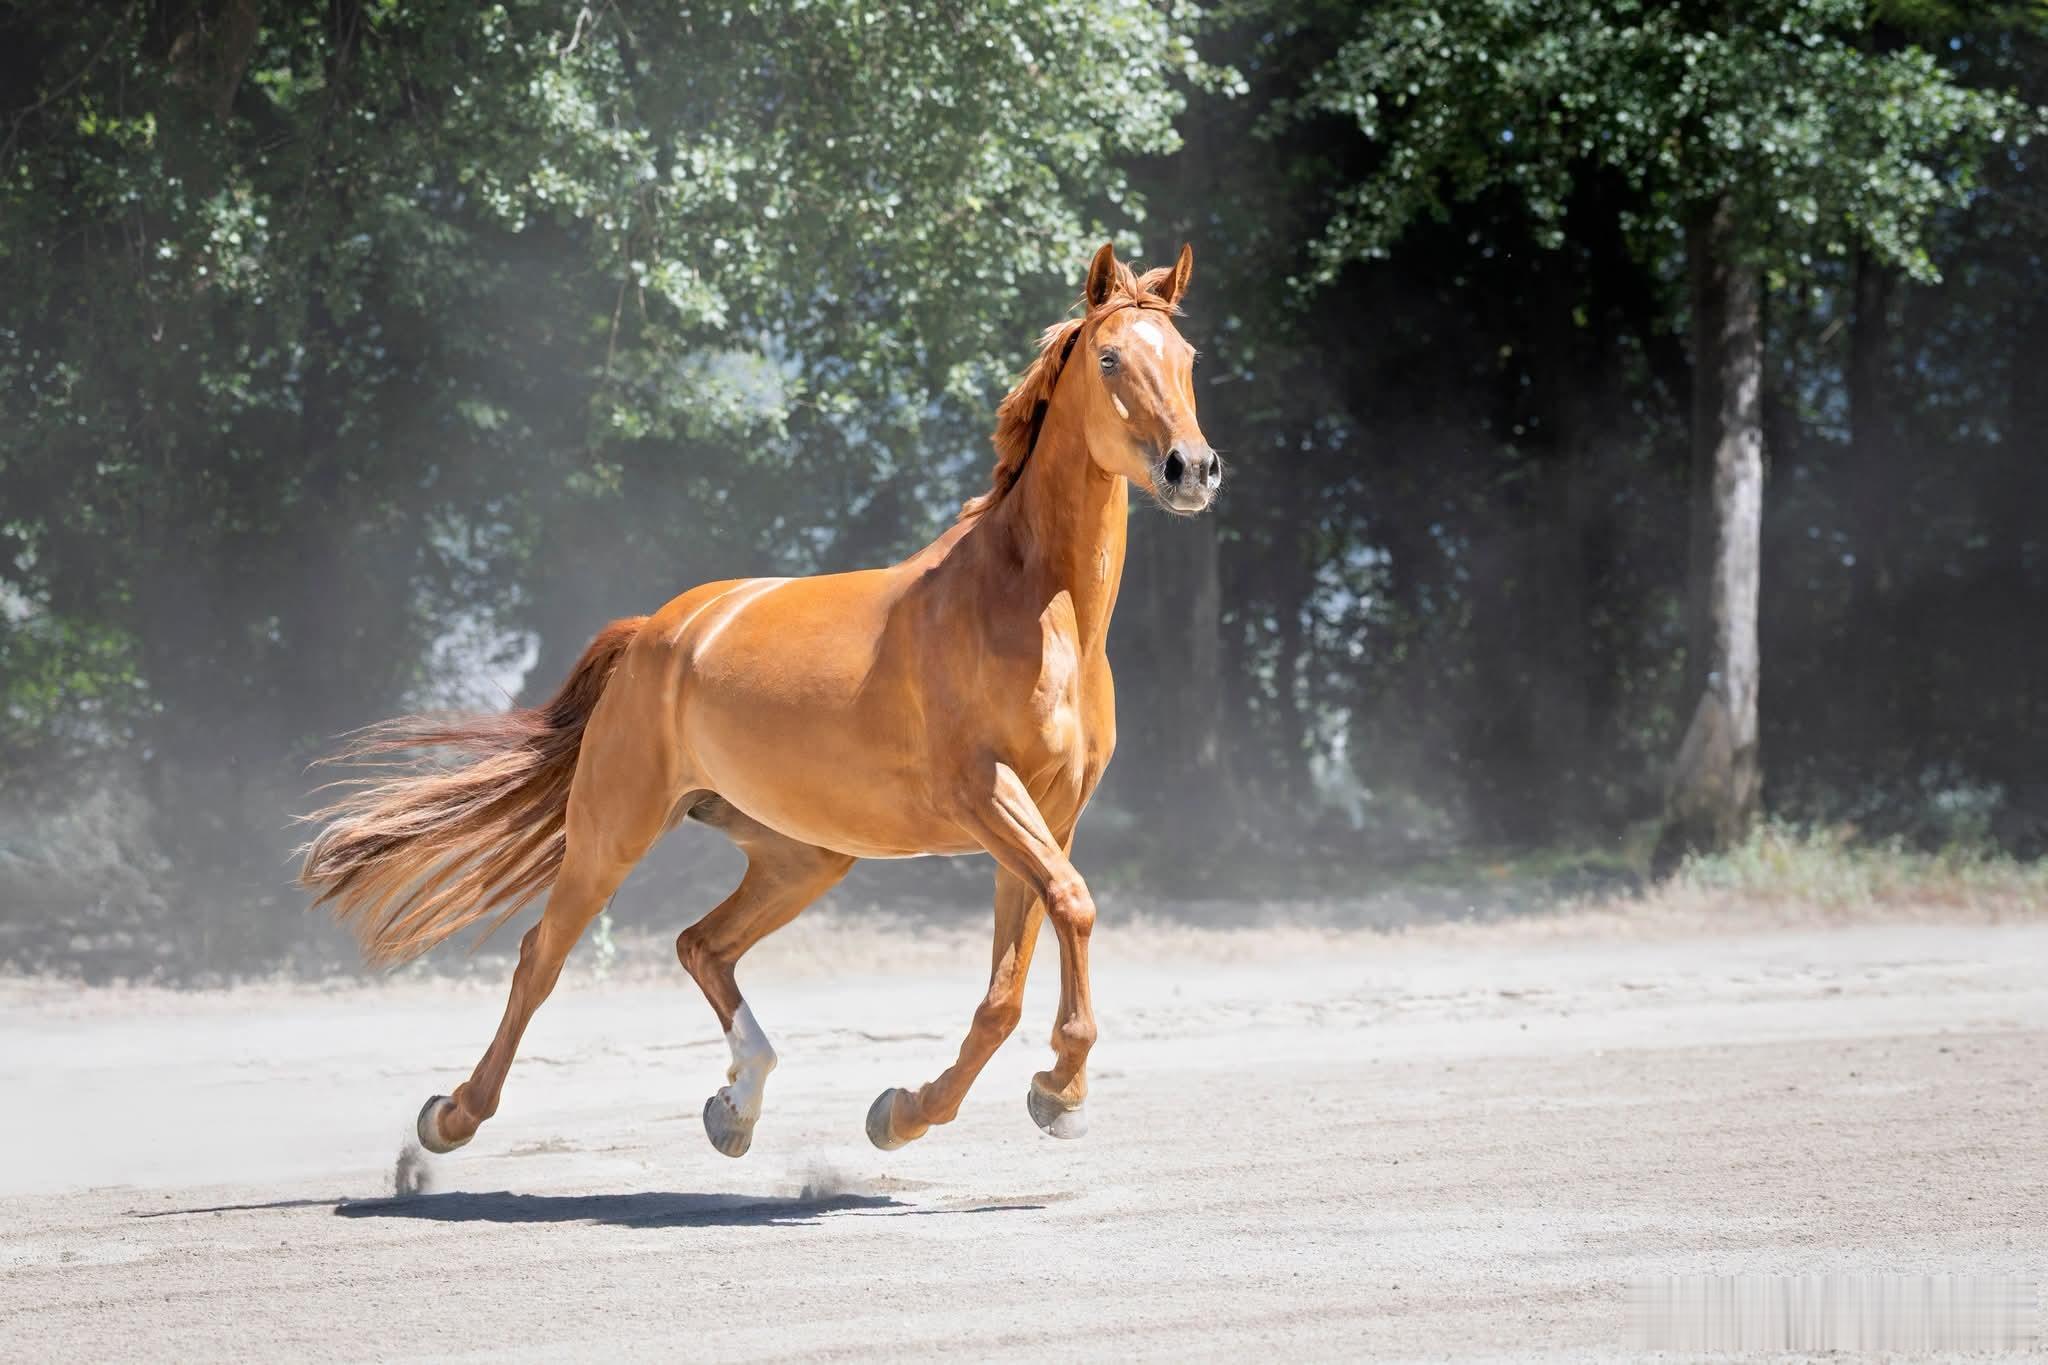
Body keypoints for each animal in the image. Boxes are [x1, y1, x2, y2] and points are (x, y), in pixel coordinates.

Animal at [300, 242, 1218, 1160]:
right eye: (1110, 358)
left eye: (1187, 359)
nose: (1192, 468)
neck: (1034, 608)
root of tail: (658, 630)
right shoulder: (988, 795)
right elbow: (1074, 906)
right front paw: (1054, 1084)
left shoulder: (1049, 819)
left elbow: (1009, 984)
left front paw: (923, 1107)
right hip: (613, 829)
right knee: (542, 956)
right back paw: (454, 1114)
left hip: (800, 853)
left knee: (701, 944)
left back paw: (736, 1105)